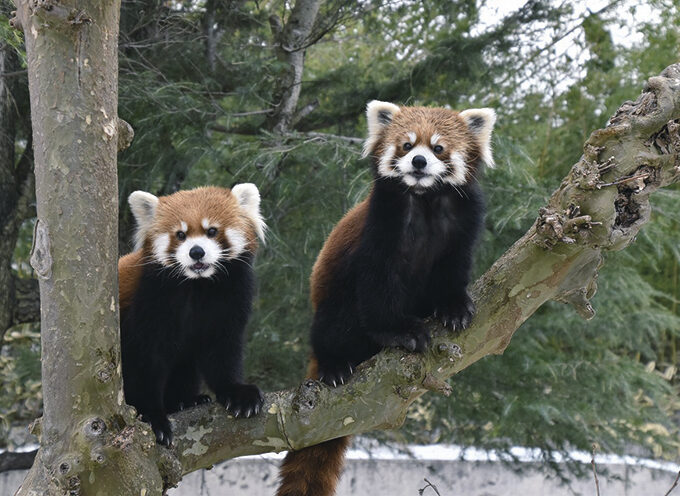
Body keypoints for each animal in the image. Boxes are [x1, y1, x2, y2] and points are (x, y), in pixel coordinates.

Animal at [117, 184, 266, 448]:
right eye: (180, 235)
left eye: (212, 231)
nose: (197, 252)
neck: (198, 286)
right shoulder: (148, 303)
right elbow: (144, 363)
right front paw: (151, 415)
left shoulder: (231, 300)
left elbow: (222, 351)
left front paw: (236, 392)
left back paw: (185, 400)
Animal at [274, 101, 494, 496]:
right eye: (406, 145)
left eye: (438, 148)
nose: (419, 162)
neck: (425, 200)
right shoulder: (382, 223)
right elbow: (377, 288)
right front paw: (400, 331)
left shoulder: (463, 221)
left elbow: (452, 271)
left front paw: (453, 308)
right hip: (332, 303)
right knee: (336, 321)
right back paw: (335, 363)